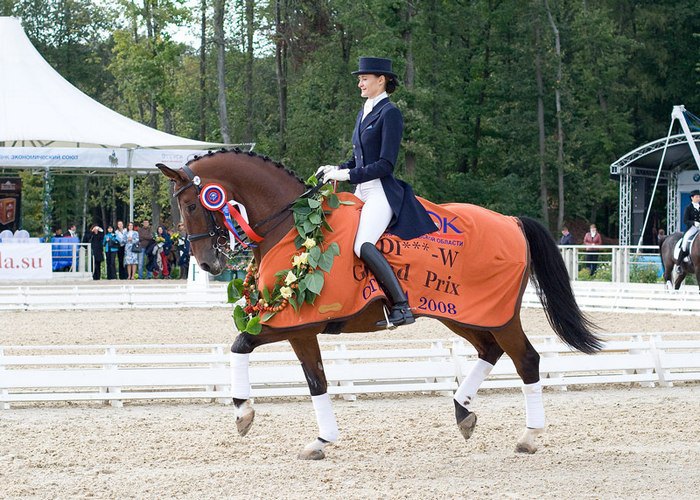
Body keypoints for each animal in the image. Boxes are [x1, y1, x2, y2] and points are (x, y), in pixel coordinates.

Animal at [157, 149, 600, 460]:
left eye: (193, 205)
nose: (207, 264)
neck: (291, 225)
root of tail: (511, 221)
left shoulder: (291, 322)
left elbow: (240, 345)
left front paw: (243, 413)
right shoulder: (299, 328)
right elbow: (315, 380)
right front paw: (320, 440)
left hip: (498, 314)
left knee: (526, 359)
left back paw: (529, 437)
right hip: (462, 314)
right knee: (489, 350)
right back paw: (463, 412)